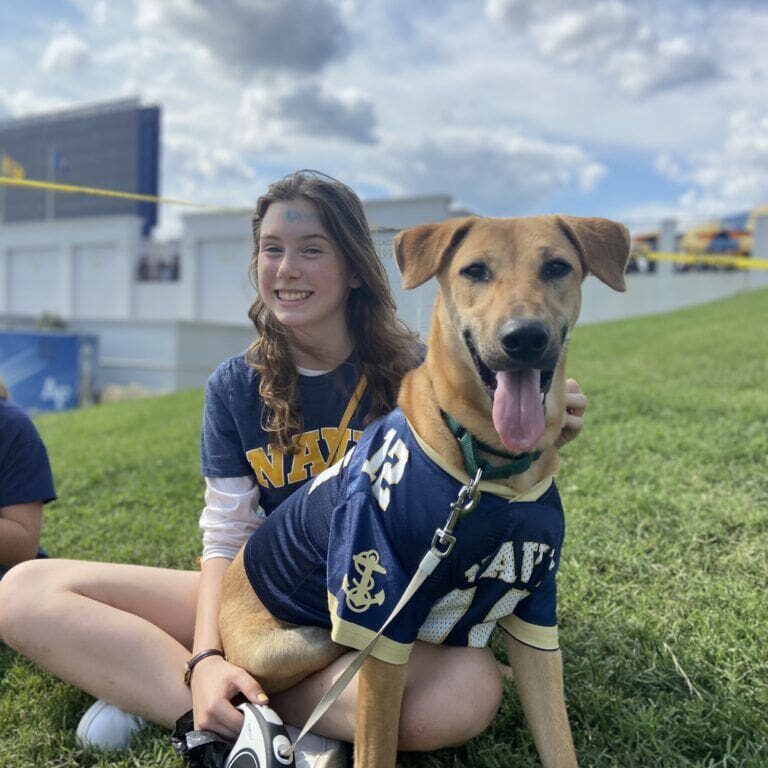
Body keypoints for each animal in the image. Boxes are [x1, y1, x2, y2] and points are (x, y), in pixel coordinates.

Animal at [219, 213, 628, 764]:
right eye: (474, 271)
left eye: (557, 267)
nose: (524, 338)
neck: (485, 465)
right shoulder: (381, 624)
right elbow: (377, 746)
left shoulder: (534, 607)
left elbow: (557, 738)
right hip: (305, 642)